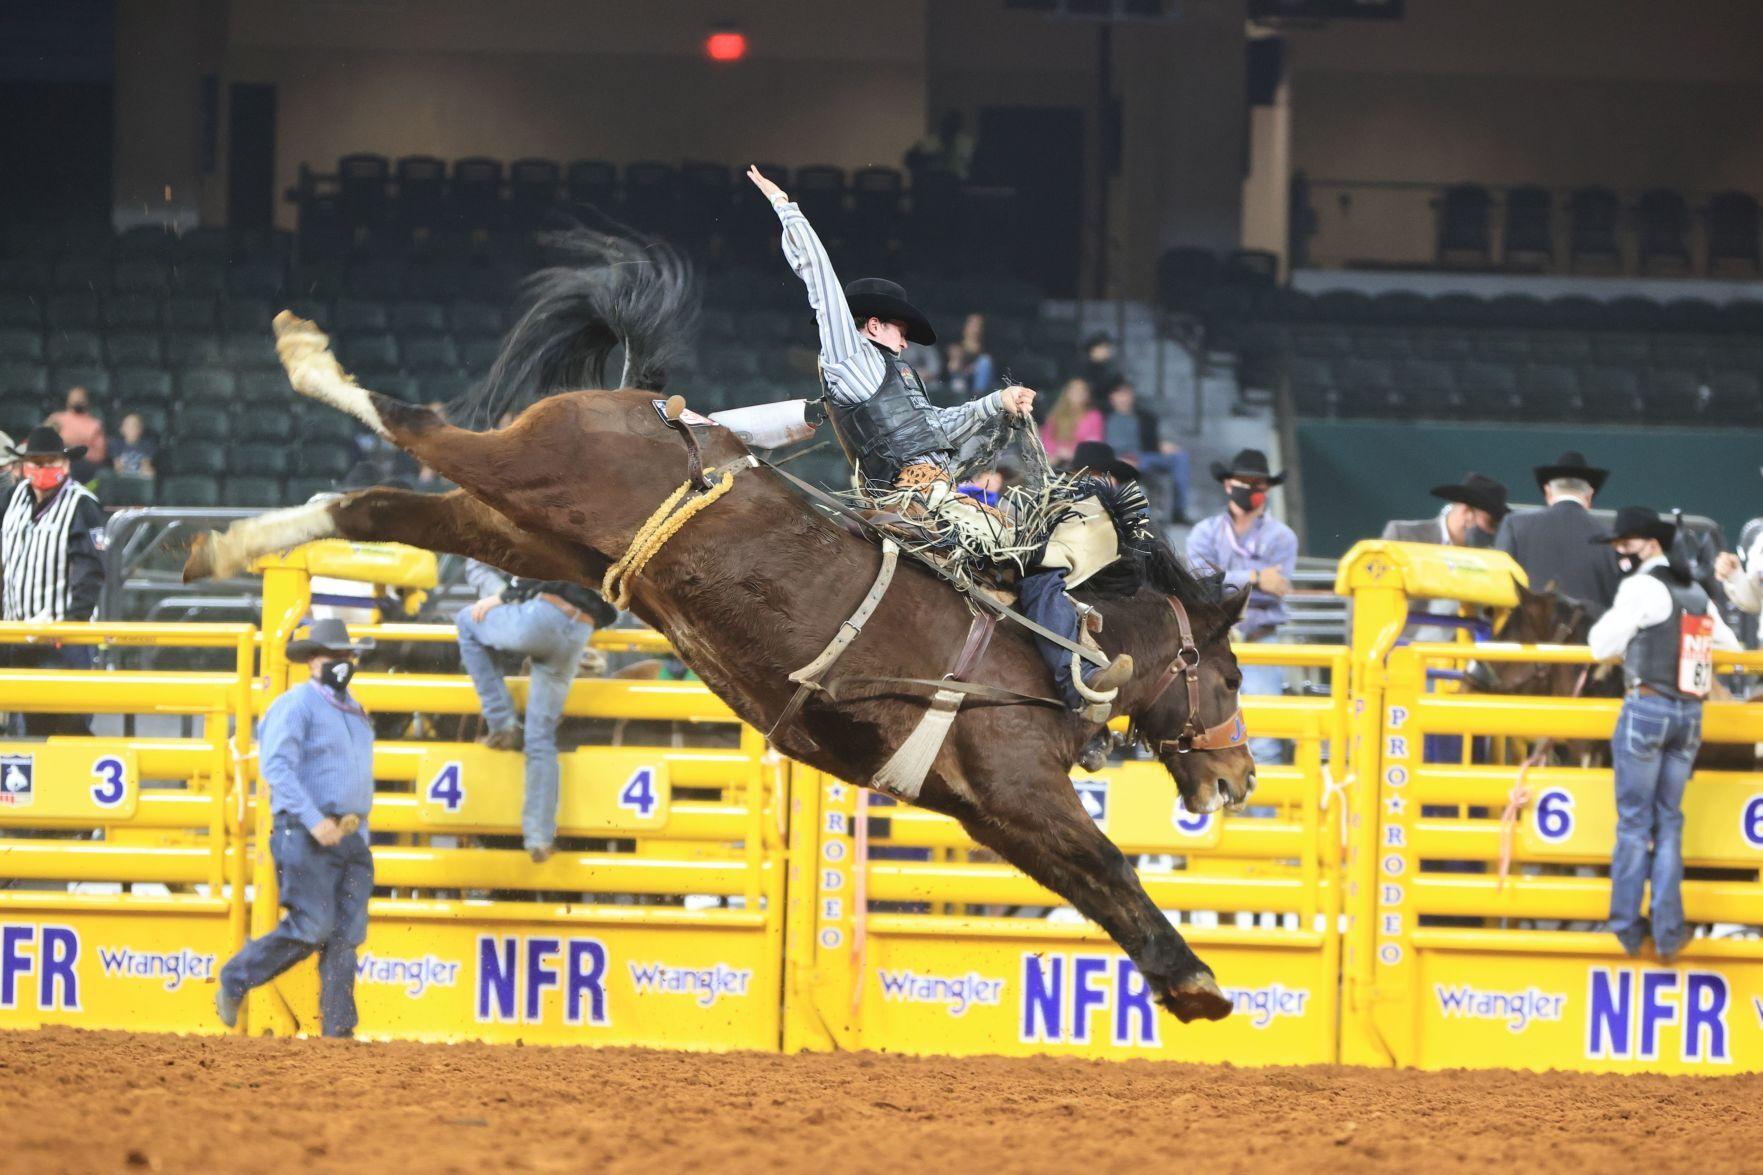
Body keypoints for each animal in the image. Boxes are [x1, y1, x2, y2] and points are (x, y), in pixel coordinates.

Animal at [185, 225, 1262, 1016]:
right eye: (1231, 674)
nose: (1238, 776)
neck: (1049, 644)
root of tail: (644, 399)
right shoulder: (1019, 789)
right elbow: (1108, 864)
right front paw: (1198, 979)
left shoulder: (990, 810)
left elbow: (1085, 882)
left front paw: (1181, 983)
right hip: (522, 475)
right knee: (411, 421)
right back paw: (304, 357)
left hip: (528, 530)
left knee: (370, 503)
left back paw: (230, 544)